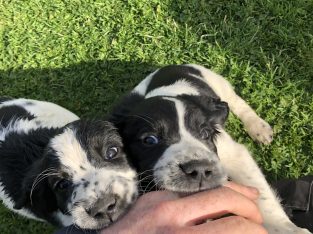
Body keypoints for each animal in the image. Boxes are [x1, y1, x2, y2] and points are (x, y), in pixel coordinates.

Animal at [109, 64, 310, 234]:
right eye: (149, 140)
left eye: (205, 133)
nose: (198, 170)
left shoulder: (235, 154)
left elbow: (261, 192)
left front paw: (287, 229)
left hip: (220, 85)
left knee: (238, 103)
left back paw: (258, 128)